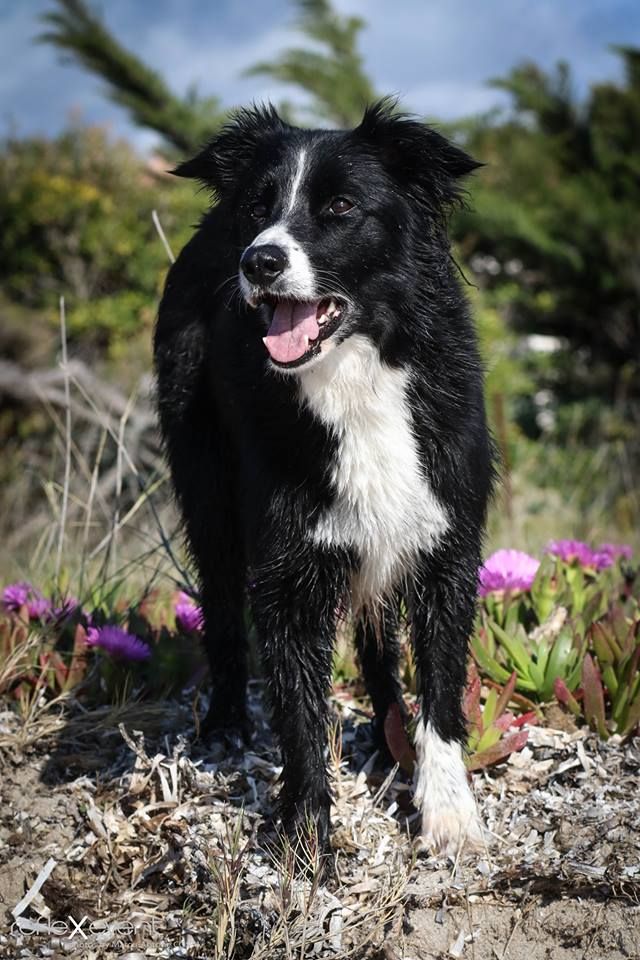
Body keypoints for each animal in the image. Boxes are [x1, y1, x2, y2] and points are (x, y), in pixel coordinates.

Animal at [154, 101, 496, 860]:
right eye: (259, 207)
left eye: (341, 207)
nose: (259, 259)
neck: (356, 375)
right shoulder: (288, 564)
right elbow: (299, 709)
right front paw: (307, 835)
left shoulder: (446, 541)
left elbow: (440, 681)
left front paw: (449, 812)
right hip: (207, 484)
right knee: (222, 605)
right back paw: (225, 725)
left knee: (377, 643)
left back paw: (389, 736)